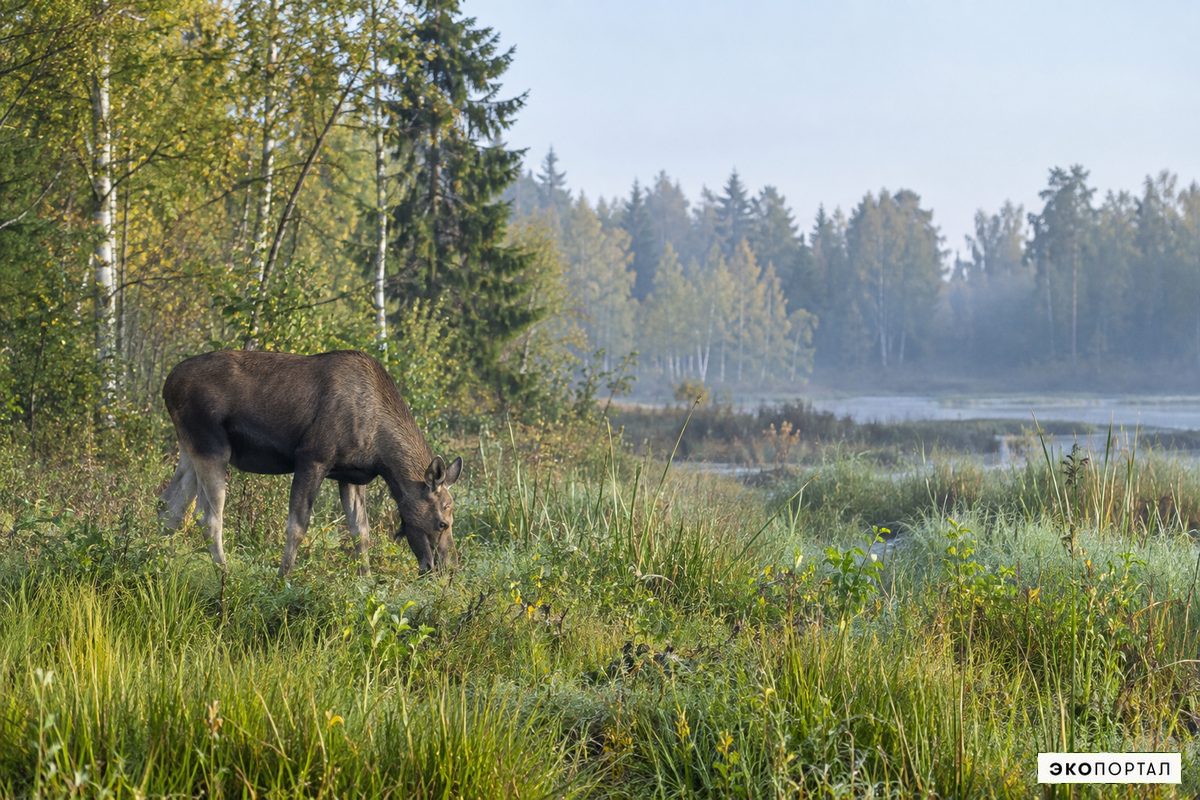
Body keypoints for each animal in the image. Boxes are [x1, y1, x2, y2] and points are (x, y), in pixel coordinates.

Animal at [159, 349, 462, 577]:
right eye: (442, 523)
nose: (448, 568)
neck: (382, 455)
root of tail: (167, 385)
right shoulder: (312, 457)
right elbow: (297, 526)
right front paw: (282, 578)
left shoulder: (350, 476)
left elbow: (361, 531)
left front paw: (366, 580)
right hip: (212, 445)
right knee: (208, 517)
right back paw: (224, 573)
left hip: (189, 447)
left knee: (170, 507)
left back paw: (156, 561)